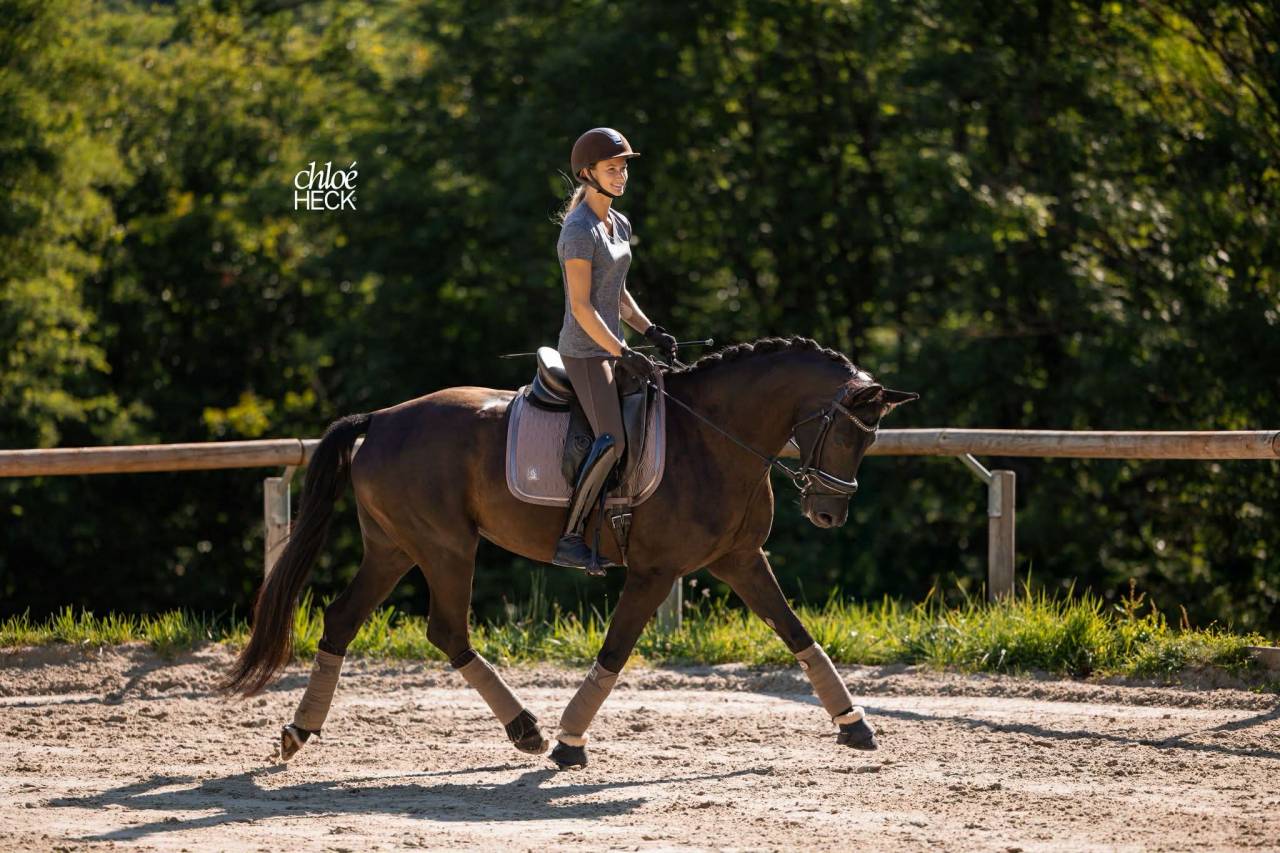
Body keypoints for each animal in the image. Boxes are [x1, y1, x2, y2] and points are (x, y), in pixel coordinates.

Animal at [223, 336, 918, 768]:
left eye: (871, 438)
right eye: (846, 434)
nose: (829, 513)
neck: (713, 438)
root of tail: (385, 417)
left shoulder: (741, 559)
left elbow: (798, 633)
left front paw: (855, 724)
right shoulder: (655, 570)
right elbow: (615, 651)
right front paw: (570, 741)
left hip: (395, 547)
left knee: (344, 618)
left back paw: (300, 731)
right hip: (444, 546)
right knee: (446, 630)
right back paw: (527, 730)